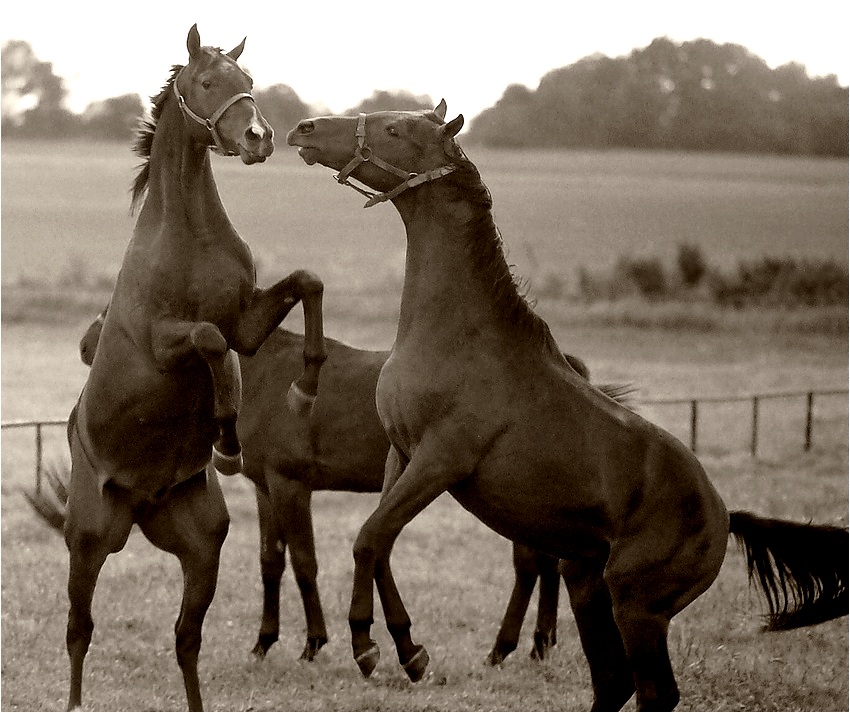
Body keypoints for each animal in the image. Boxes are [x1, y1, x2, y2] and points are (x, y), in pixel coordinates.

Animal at [53, 25, 324, 708]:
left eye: (247, 78)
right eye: (207, 82)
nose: (259, 137)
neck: (189, 236)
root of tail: (140, 501)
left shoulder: (249, 321)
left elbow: (307, 283)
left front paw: (306, 388)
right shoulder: (166, 341)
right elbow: (209, 340)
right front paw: (226, 439)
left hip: (203, 546)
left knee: (185, 639)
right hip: (88, 539)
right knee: (78, 629)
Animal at [68, 308, 628, 664]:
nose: (85, 345)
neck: (268, 376)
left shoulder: (292, 486)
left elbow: (304, 562)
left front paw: (315, 641)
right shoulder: (266, 489)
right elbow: (271, 562)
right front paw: (264, 641)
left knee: (531, 564)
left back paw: (510, 646)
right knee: (546, 562)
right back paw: (538, 642)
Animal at [286, 103, 848, 708]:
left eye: (394, 129)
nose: (304, 129)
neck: (456, 334)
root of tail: (724, 515)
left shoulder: (441, 460)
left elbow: (370, 537)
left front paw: (369, 646)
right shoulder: (402, 453)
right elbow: (379, 542)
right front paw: (406, 650)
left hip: (637, 607)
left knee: (653, 690)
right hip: (586, 584)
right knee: (614, 681)